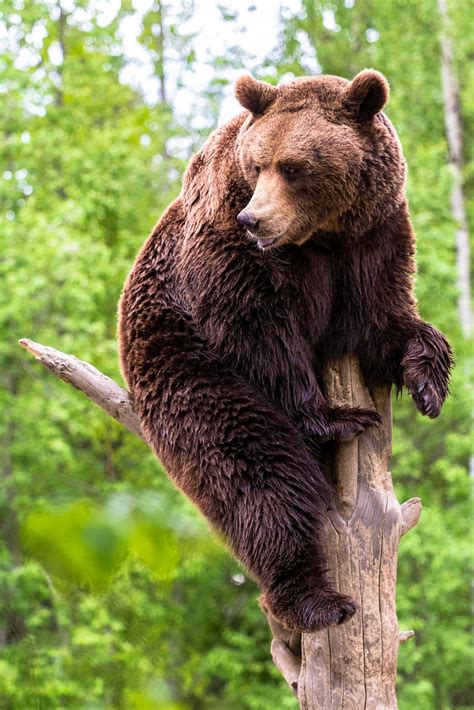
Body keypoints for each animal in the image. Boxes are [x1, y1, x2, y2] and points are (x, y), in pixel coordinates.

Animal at [118, 69, 452, 632]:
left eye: (294, 167)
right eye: (257, 165)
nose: (254, 218)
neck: (322, 234)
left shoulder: (374, 238)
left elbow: (384, 321)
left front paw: (428, 384)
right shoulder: (223, 240)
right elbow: (255, 326)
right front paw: (337, 417)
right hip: (182, 365)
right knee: (257, 472)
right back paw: (315, 600)